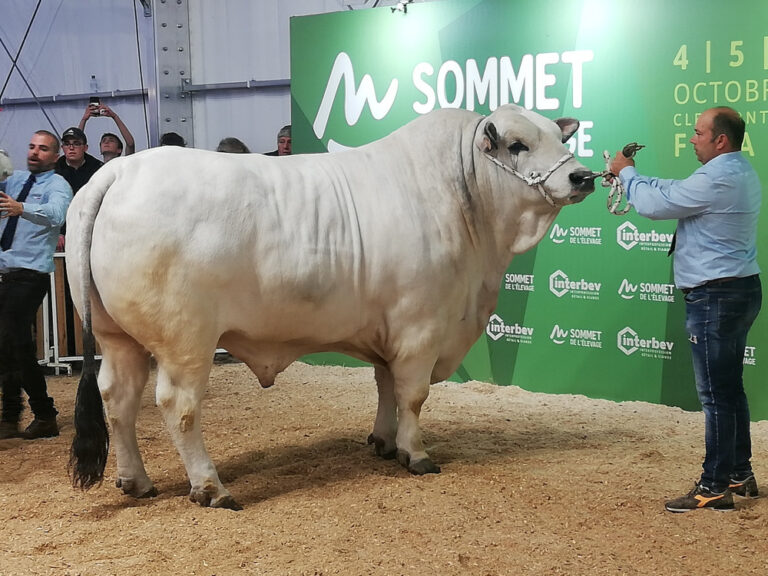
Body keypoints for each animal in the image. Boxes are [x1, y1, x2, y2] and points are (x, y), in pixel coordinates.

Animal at [67, 103, 592, 508]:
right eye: (518, 144)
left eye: (557, 135)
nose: (582, 176)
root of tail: (119, 170)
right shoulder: (420, 327)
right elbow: (413, 395)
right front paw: (416, 454)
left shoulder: (389, 333)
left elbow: (385, 388)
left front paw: (383, 442)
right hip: (185, 341)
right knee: (178, 406)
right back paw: (211, 487)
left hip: (118, 337)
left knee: (119, 399)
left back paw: (136, 481)